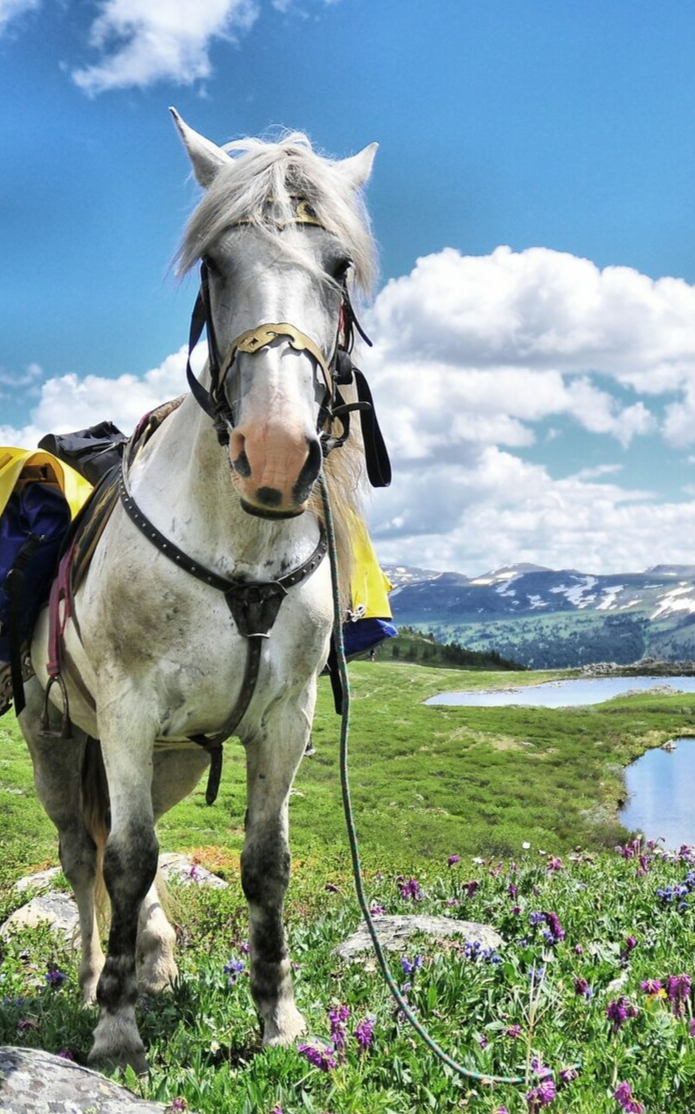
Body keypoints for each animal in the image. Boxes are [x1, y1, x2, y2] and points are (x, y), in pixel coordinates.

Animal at [20, 110, 380, 1069]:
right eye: (216, 263)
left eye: (338, 266)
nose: (278, 454)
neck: (240, 550)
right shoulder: (128, 710)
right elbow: (127, 859)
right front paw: (114, 1027)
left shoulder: (283, 720)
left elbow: (264, 863)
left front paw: (278, 1019)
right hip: (57, 738)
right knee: (85, 852)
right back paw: (91, 978)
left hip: (172, 755)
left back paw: (150, 956)